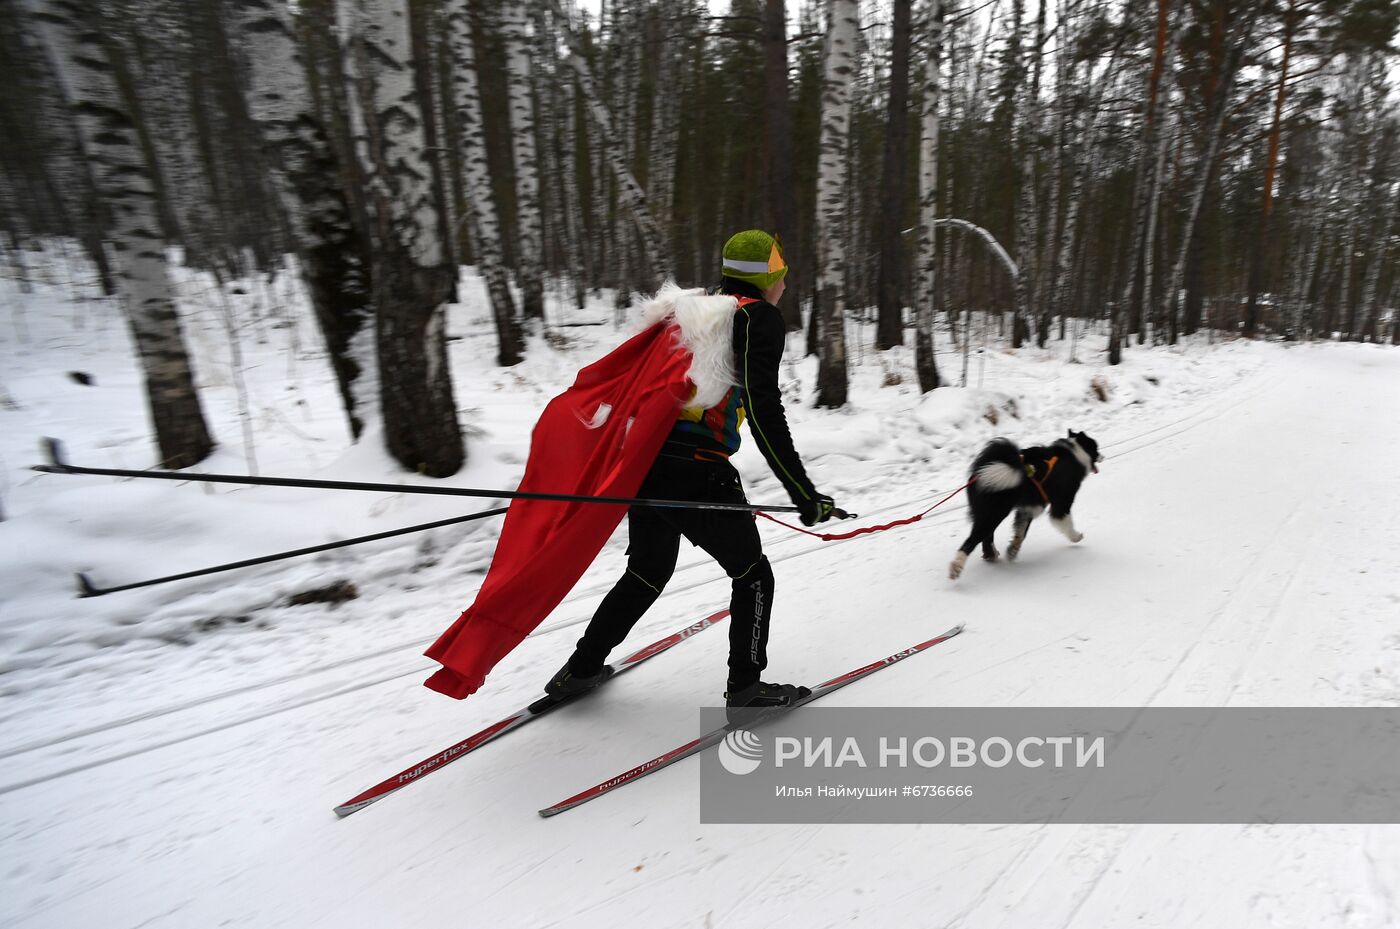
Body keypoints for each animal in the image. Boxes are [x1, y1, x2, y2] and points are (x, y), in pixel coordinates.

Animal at [952, 430, 1103, 582]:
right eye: (1095, 448)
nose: (1103, 456)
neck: (1073, 454)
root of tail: (982, 473)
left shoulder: (1027, 508)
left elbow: (1020, 531)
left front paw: (1012, 551)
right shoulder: (1061, 502)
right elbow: (1066, 523)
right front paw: (1076, 536)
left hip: (989, 514)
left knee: (986, 536)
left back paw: (991, 555)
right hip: (994, 513)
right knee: (971, 541)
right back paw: (956, 568)